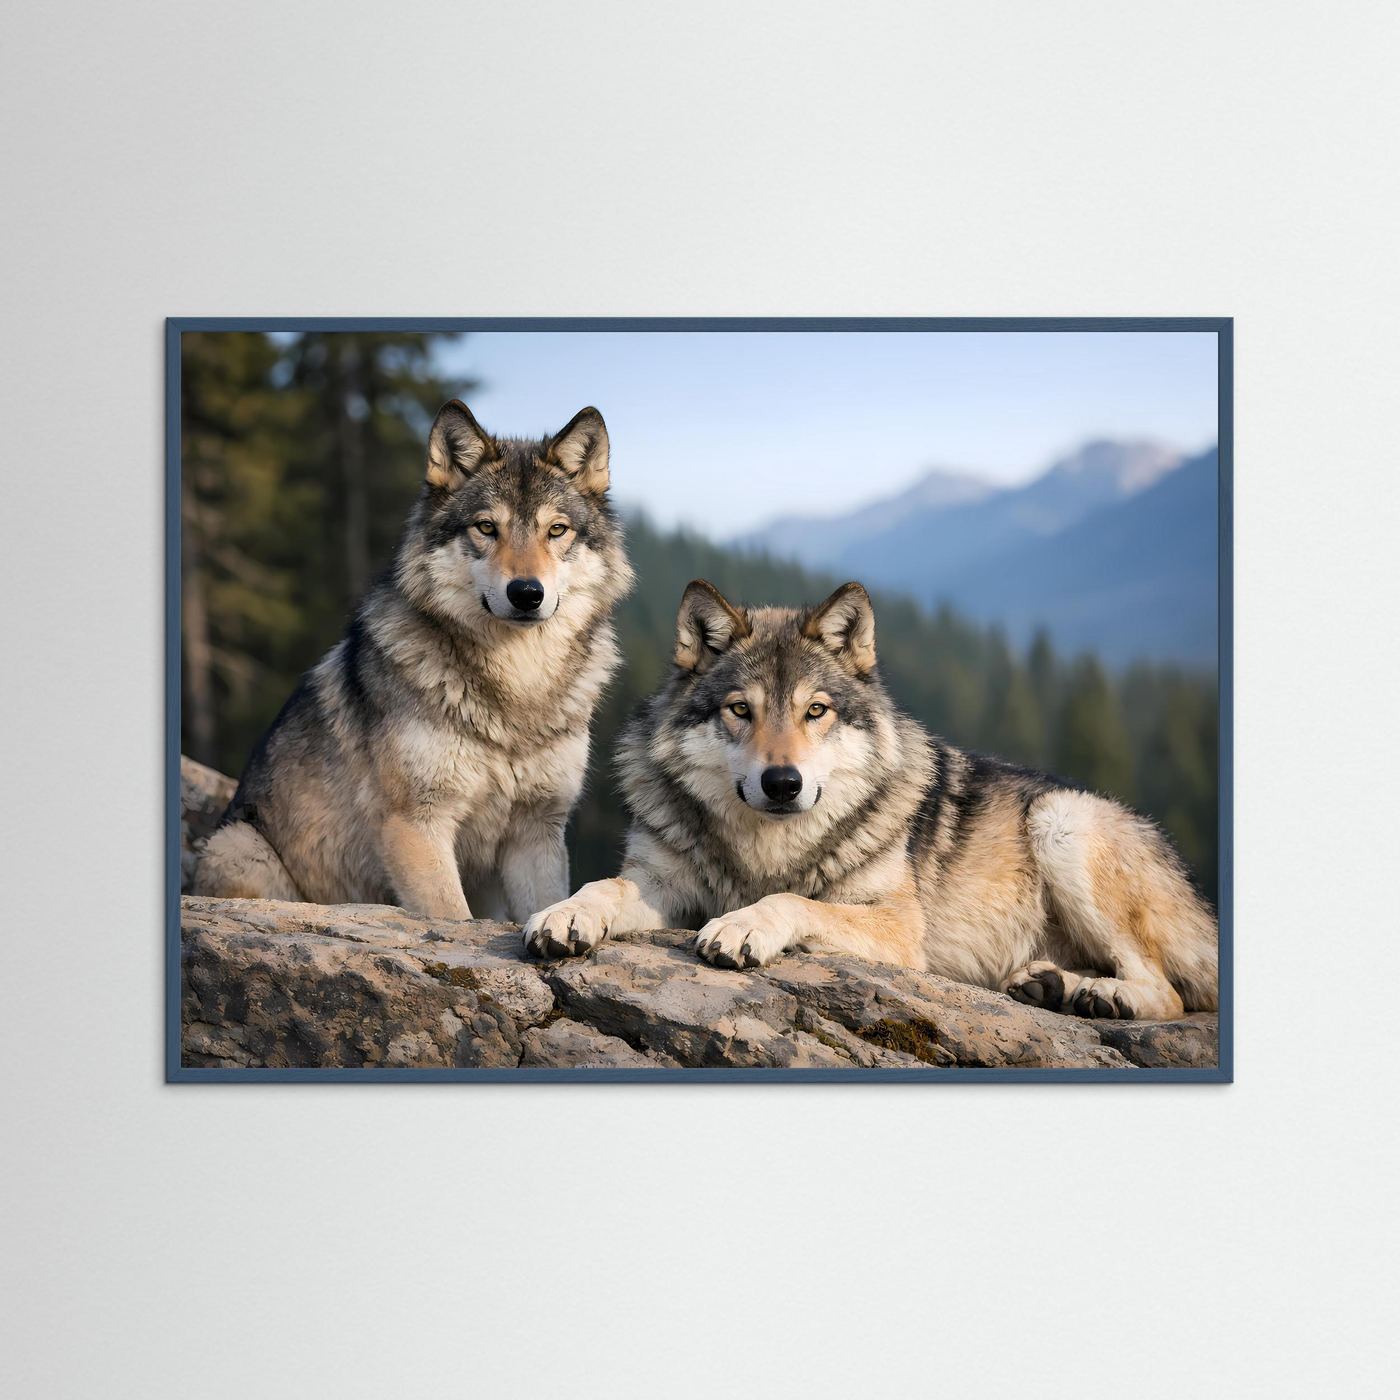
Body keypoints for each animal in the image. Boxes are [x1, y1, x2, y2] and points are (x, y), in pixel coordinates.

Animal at [195, 400, 633, 922]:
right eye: (487, 528)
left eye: (557, 530)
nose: (527, 593)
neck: (517, 685)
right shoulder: (417, 824)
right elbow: (451, 915)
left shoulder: (536, 833)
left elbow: (543, 906)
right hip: (237, 845)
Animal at [523, 579, 1217, 1020]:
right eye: (741, 711)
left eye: (816, 711)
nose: (783, 783)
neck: (764, 849)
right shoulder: (664, 887)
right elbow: (605, 886)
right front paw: (563, 914)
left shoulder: (899, 929)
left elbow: (793, 900)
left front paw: (745, 925)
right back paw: (1050, 985)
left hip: (1062, 821)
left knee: (1172, 992)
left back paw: (1101, 997)